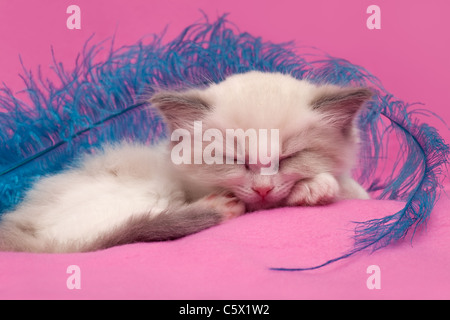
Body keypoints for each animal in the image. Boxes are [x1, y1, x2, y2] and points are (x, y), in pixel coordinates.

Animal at [0, 70, 370, 252]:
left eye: (288, 157)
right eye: (234, 159)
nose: (263, 190)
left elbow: (356, 191)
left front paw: (320, 185)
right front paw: (316, 187)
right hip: (148, 193)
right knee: (112, 234)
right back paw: (216, 209)